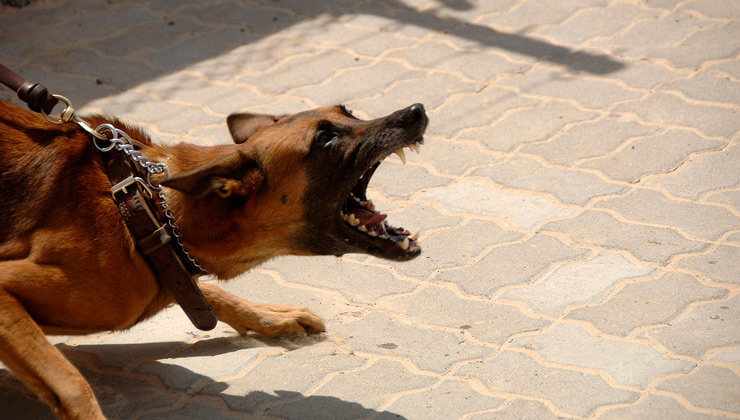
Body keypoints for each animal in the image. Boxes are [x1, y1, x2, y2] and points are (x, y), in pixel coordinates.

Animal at [0, 99, 428, 420]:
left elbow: (205, 293)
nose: (416, 111)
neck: (145, 208)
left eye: (348, 111)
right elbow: (72, 385)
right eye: (324, 138)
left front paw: (270, 315)